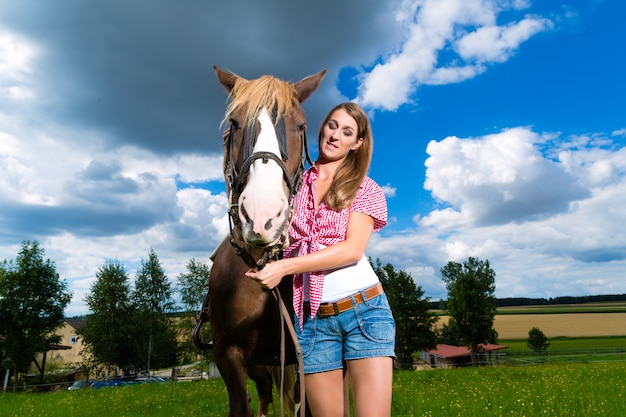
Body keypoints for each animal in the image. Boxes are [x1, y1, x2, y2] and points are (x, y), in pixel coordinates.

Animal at [193, 66, 324, 416]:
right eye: (236, 123)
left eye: (301, 126)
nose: (262, 215)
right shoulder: (228, 355)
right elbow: (242, 406)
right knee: (264, 393)